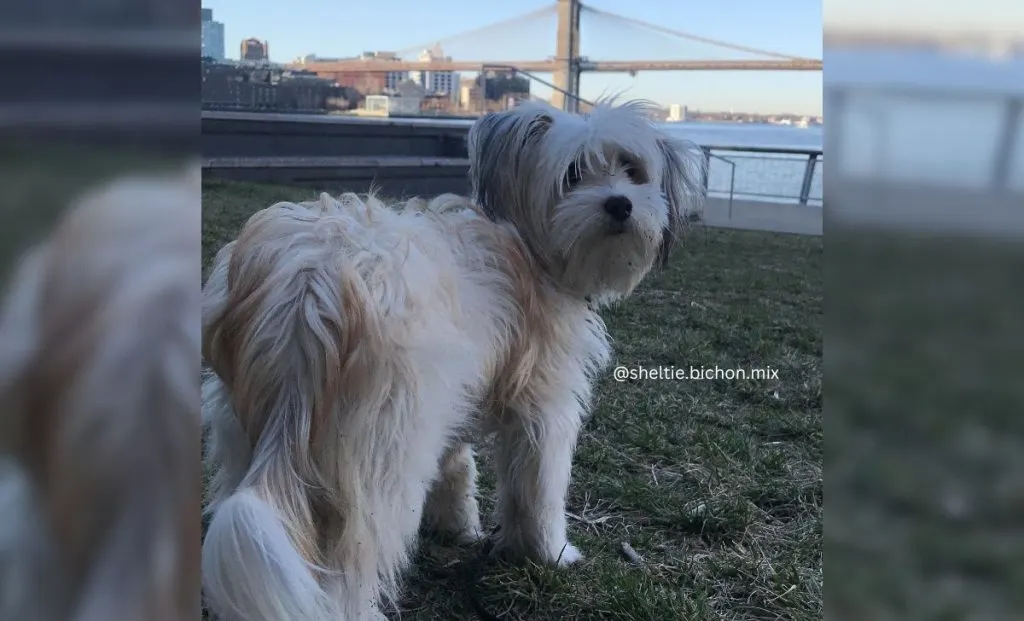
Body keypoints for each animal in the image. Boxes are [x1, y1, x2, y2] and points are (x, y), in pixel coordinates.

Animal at [199, 99, 704, 618]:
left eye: (632, 169)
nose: (621, 203)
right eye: (574, 174)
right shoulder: (544, 407)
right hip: (383, 454)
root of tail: (311, 290)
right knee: (351, 564)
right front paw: (551, 552)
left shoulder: (460, 392)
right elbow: (540, 487)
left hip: (247, 430)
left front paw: (457, 524)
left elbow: (458, 462)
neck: (533, 250)